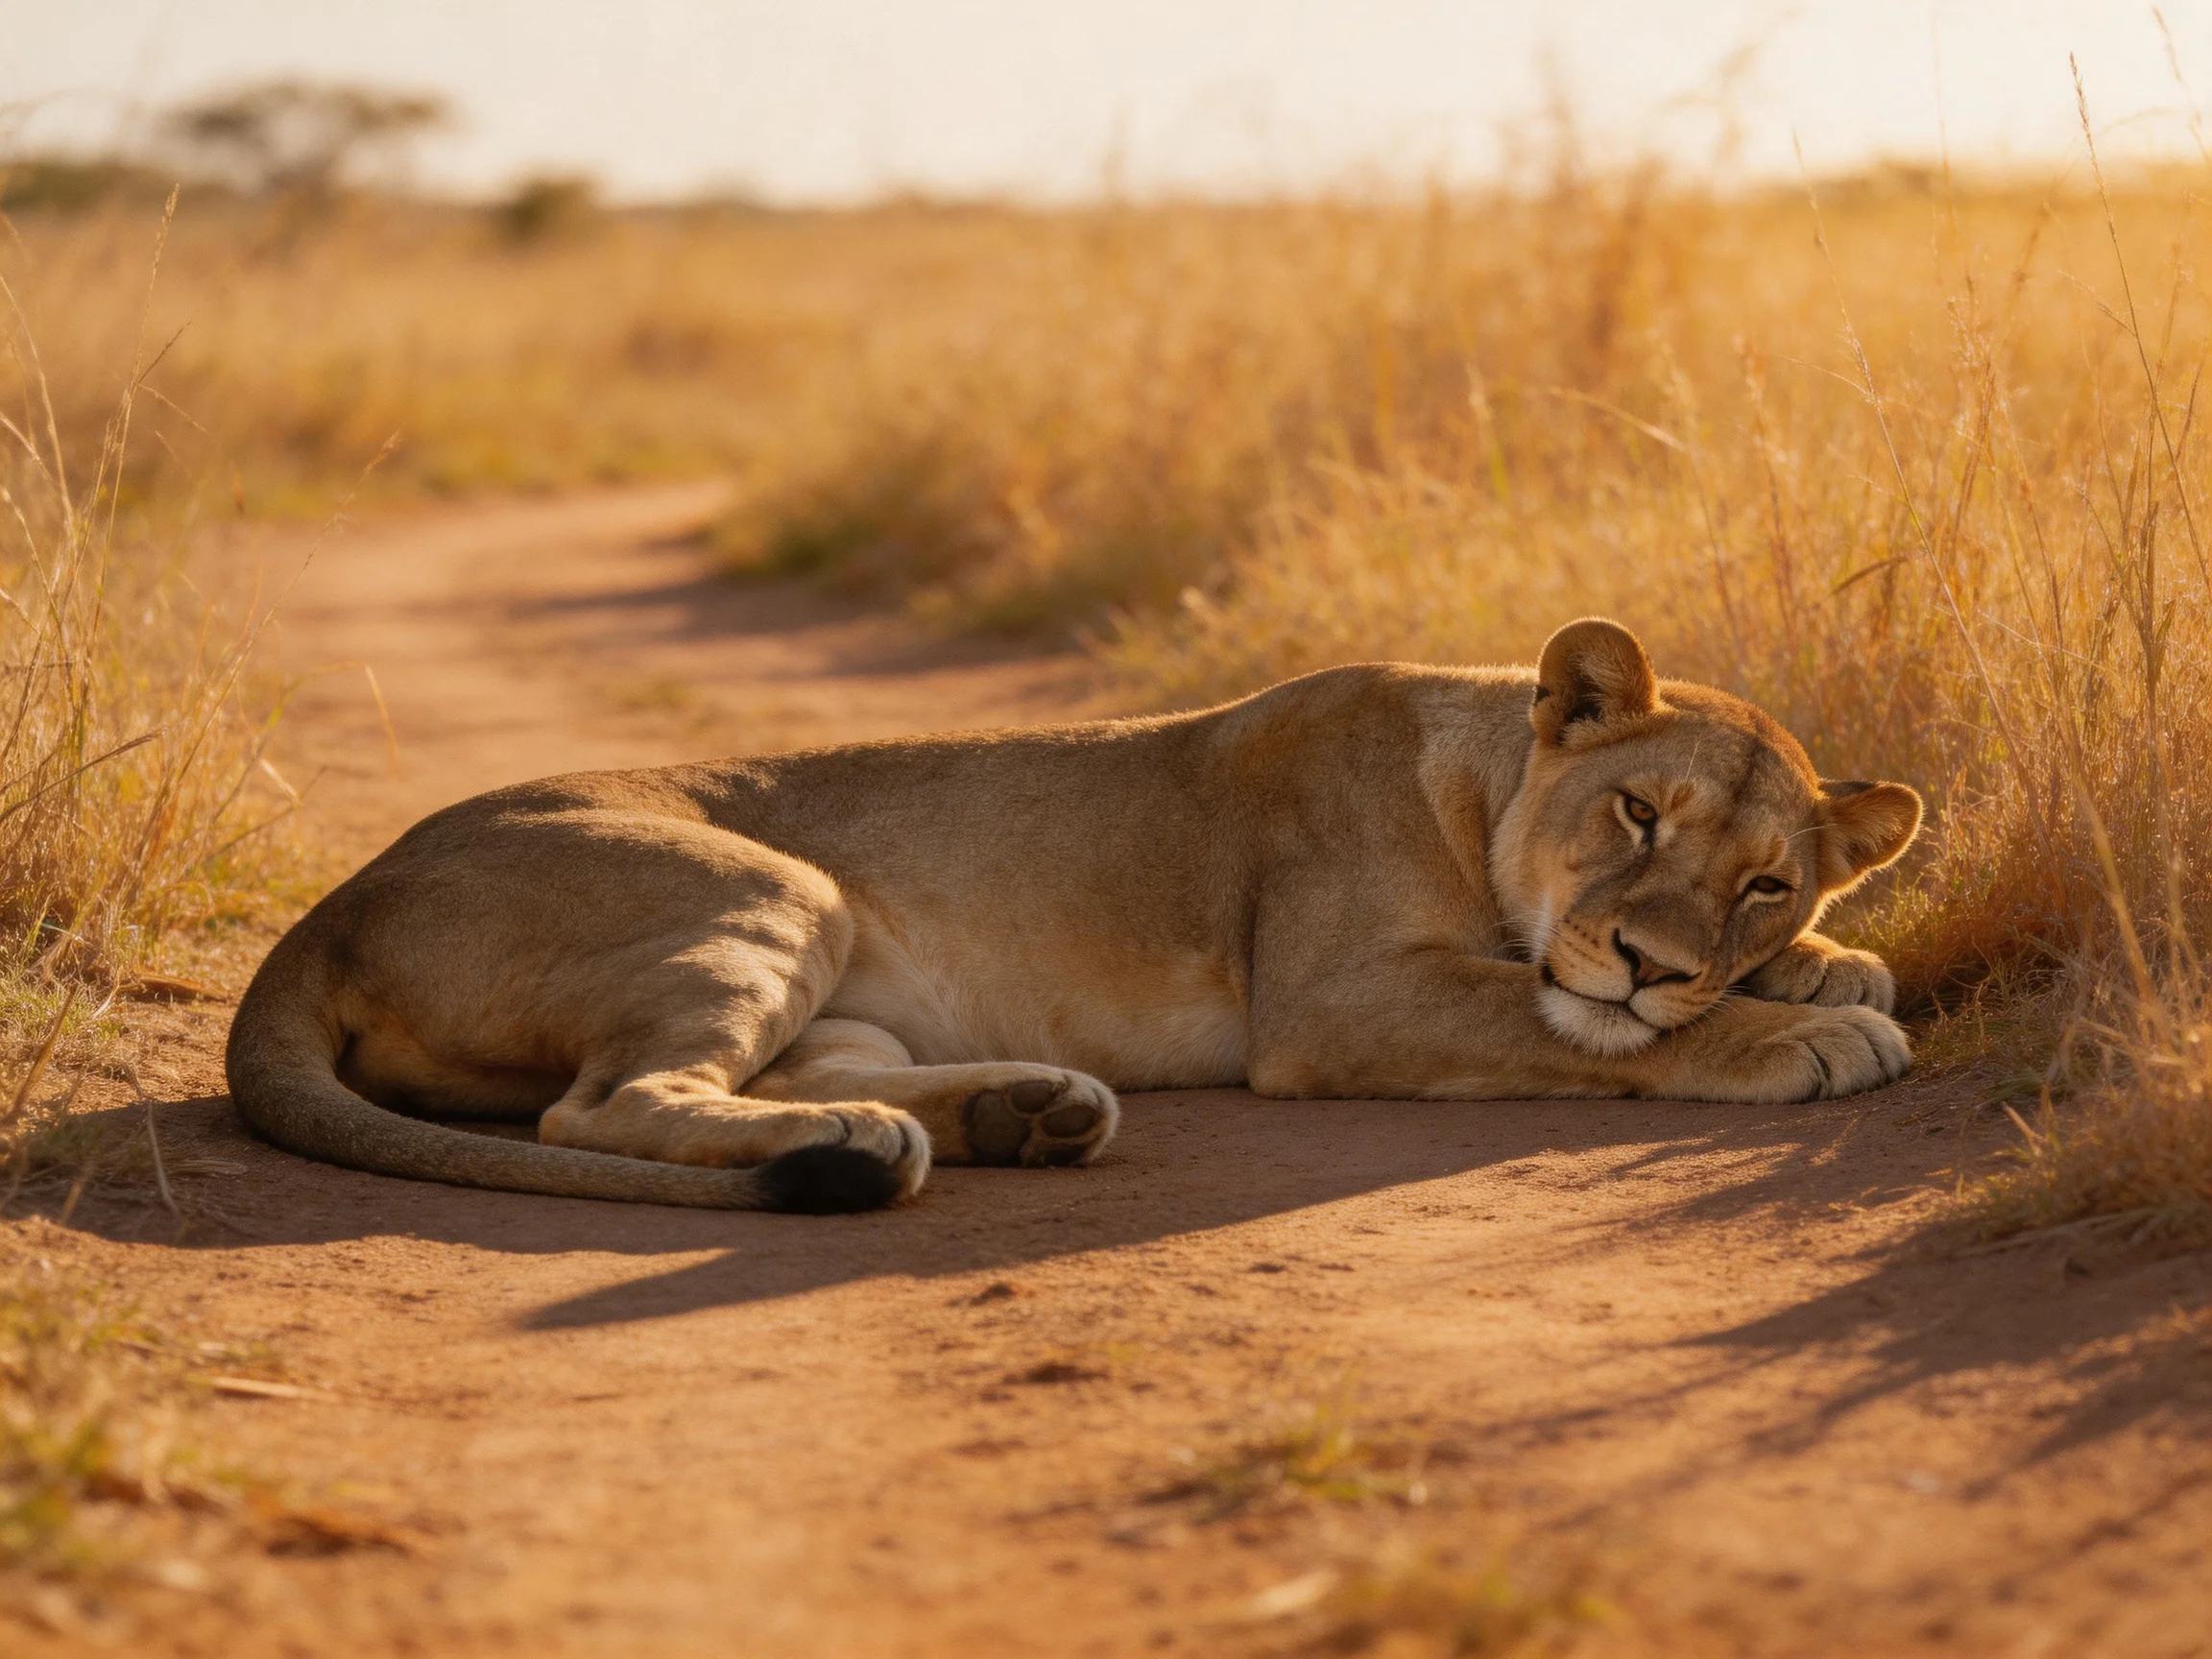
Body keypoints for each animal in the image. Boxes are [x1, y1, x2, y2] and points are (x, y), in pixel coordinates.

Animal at [226, 617, 1922, 1213]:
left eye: (1765, 883)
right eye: (1639, 816)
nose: (1651, 960)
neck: (1485, 773)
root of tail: (329, 907)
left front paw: (1834, 967)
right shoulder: (1335, 1003)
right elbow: (1563, 1023)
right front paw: (1802, 1033)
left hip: (833, 978)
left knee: (784, 1077)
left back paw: (1015, 1116)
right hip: (770, 886)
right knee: (598, 1110)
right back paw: (883, 1147)